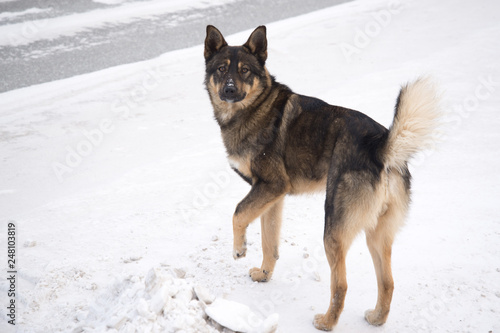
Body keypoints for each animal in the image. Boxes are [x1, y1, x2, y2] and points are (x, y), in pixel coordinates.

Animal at [202, 25, 438, 330]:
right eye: (221, 69)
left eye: (244, 71)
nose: (229, 90)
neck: (254, 108)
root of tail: (381, 148)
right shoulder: (273, 196)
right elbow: (269, 241)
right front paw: (264, 274)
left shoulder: (271, 186)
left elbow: (238, 213)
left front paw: (239, 248)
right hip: (377, 234)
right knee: (387, 282)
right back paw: (376, 317)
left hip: (333, 228)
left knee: (341, 285)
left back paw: (327, 321)